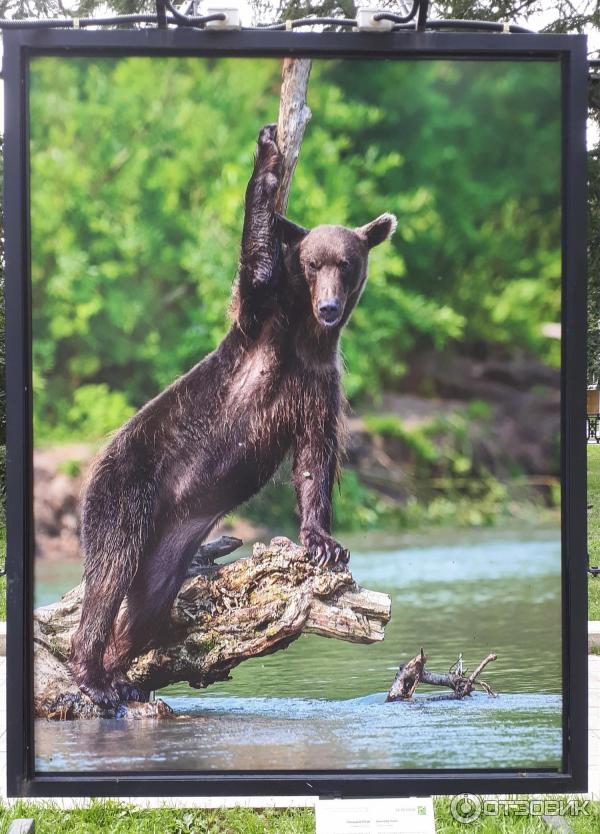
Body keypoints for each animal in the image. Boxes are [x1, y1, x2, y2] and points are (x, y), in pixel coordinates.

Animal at [70, 123, 396, 704]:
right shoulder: (263, 325)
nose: (329, 307)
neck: (305, 338)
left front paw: (325, 544)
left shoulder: (318, 386)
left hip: (171, 543)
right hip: (128, 484)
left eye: (347, 263)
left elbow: (315, 459)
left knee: (148, 603)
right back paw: (92, 674)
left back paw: (121, 673)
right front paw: (267, 154)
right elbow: (257, 265)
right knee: (110, 570)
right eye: (313, 264)